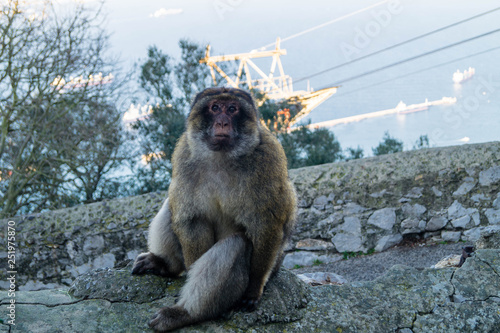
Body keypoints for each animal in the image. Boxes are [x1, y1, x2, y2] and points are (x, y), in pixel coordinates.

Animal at [132, 87, 296, 330]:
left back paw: (185, 314)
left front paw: (254, 288)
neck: (222, 156)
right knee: (172, 205)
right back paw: (167, 265)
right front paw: (185, 267)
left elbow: (266, 226)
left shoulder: (268, 158)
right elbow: (192, 219)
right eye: (215, 107)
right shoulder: (184, 153)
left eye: (232, 109)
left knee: (237, 244)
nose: (222, 122)